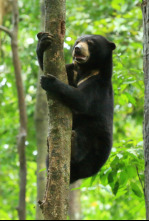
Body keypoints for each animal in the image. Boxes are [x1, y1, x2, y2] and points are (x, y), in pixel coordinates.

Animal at [36, 32, 116, 183]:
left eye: (91, 43)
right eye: (78, 41)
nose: (77, 49)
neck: (86, 69)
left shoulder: (98, 86)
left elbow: (82, 100)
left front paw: (49, 81)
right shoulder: (71, 72)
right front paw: (43, 41)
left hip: (96, 135)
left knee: (83, 139)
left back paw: (73, 144)